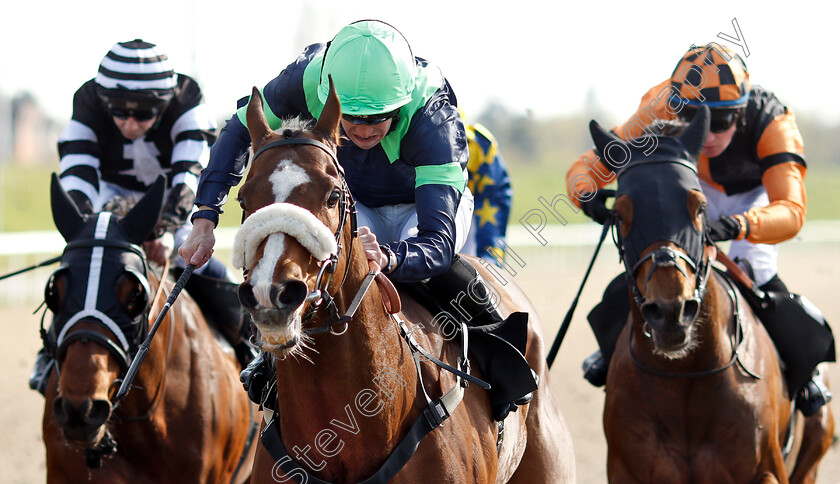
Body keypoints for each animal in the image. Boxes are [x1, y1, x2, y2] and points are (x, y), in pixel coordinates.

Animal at [592, 110, 836, 484]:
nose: (671, 311)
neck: (684, 378)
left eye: (700, 207)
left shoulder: (767, 470)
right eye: (618, 214)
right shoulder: (626, 470)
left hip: (812, 453)